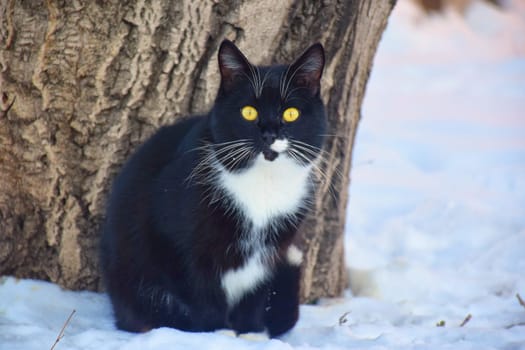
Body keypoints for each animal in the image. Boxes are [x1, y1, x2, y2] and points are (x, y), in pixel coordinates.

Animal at [100, 39, 326, 338]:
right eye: (249, 111)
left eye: (291, 113)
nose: (269, 133)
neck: (263, 184)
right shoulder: (181, 242)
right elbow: (201, 290)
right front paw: (217, 334)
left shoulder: (274, 247)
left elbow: (257, 291)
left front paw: (251, 334)